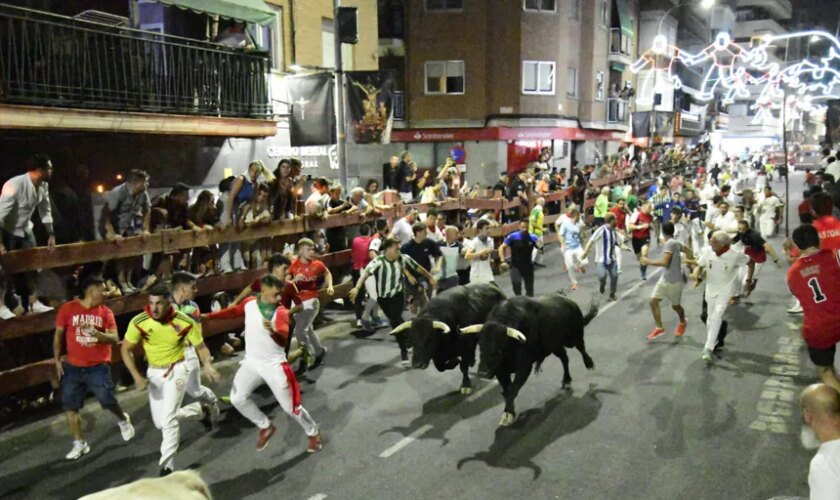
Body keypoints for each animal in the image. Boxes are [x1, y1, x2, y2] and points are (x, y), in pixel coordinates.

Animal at [460, 292, 596, 426]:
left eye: (499, 347)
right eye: (480, 345)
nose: (483, 373)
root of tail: (570, 301)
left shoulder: (524, 367)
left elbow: (513, 389)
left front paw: (507, 415)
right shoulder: (500, 371)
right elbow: (507, 390)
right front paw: (510, 412)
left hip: (574, 336)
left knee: (581, 348)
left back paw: (589, 365)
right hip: (555, 346)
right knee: (564, 357)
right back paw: (566, 380)